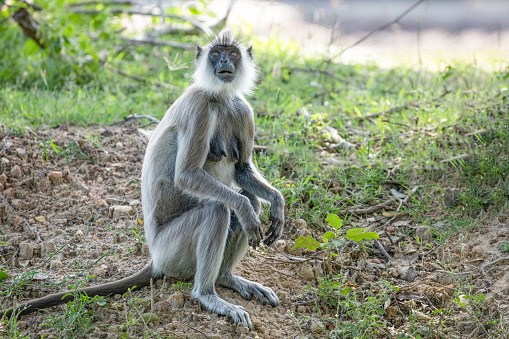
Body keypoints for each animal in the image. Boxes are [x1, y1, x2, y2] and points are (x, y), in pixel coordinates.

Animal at [0, 29, 284, 330]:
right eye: (216, 54)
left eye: (232, 54)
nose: (223, 64)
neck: (220, 98)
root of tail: (155, 260)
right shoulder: (198, 107)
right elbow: (188, 176)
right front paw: (247, 209)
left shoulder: (243, 110)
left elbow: (242, 170)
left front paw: (278, 202)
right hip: (171, 252)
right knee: (220, 209)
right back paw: (208, 294)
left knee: (248, 199)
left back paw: (226, 277)